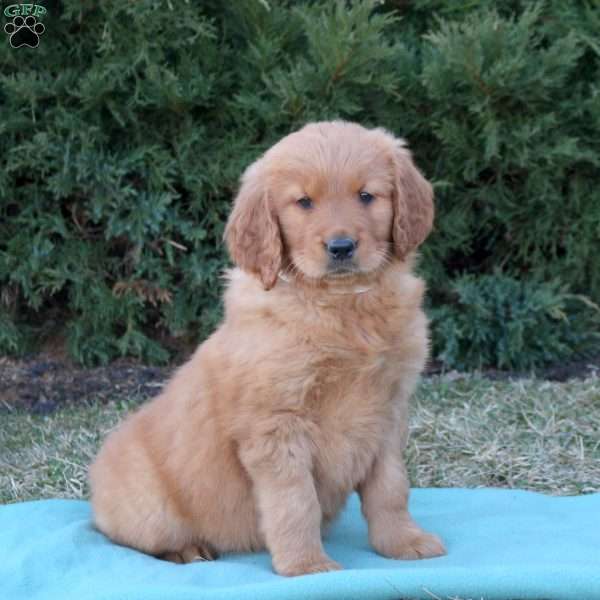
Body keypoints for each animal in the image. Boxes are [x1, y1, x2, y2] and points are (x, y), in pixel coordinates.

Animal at [89, 120, 446, 576]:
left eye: (366, 195)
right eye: (304, 202)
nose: (341, 247)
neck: (340, 303)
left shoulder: (390, 411)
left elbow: (391, 489)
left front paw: (403, 542)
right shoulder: (275, 425)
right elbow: (296, 503)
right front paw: (307, 565)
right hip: (150, 509)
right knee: (135, 540)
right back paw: (187, 551)